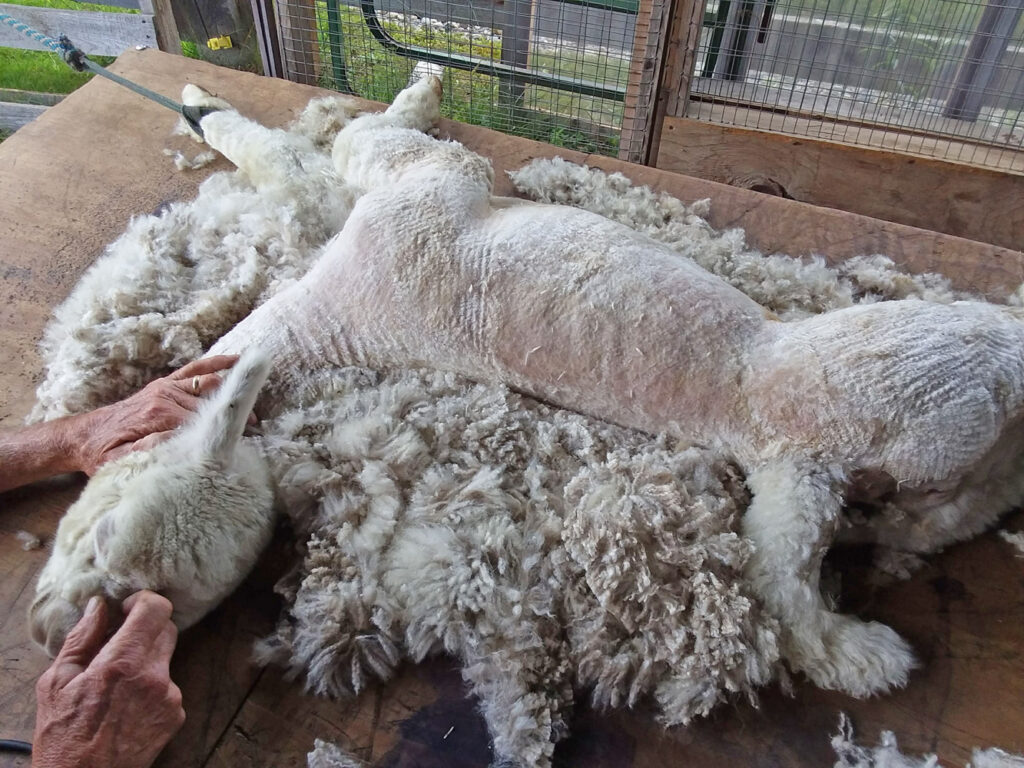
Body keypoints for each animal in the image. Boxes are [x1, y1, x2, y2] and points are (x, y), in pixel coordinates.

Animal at [29, 74, 1024, 709]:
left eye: (107, 548)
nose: (45, 632)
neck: (323, 321)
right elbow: (324, 150)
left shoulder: (414, 202)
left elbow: (340, 144)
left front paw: (217, 106)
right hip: (884, 419)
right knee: (886, 523)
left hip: (914, 378)